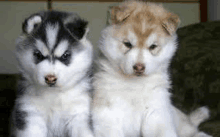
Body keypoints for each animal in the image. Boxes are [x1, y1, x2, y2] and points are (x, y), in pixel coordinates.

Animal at [91, 1, 211, 137]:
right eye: (127, 44)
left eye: (153, 46)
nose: (139, 67)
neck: (134, 84)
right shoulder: (107, 113)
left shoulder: (156, 112)